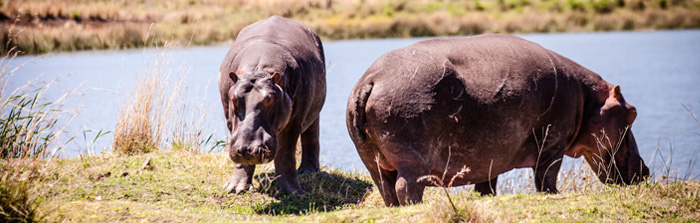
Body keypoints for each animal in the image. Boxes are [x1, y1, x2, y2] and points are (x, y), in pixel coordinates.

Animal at [220, 15, 326, 195]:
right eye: (234, 98)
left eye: (269, 98)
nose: (248, 150)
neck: (258, 69)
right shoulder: (230, 118)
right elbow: (242, 161)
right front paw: (235, 189)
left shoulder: (294, 122)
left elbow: (286, 154)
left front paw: (294, 192)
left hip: (313, 113)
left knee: (311, 135)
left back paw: (307, 171)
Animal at [346, 34, 652, 206]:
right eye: (633, 112)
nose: (646, 171)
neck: (588, 99)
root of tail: (370, 80)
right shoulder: (553, 142)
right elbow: (547, 175)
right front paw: (553, 195)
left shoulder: (489, 154)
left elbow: (487, 184)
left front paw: (486, 198)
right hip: (412, 160)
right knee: (406, 187)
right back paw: (415, 209)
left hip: (373, 163)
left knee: (387, 190)